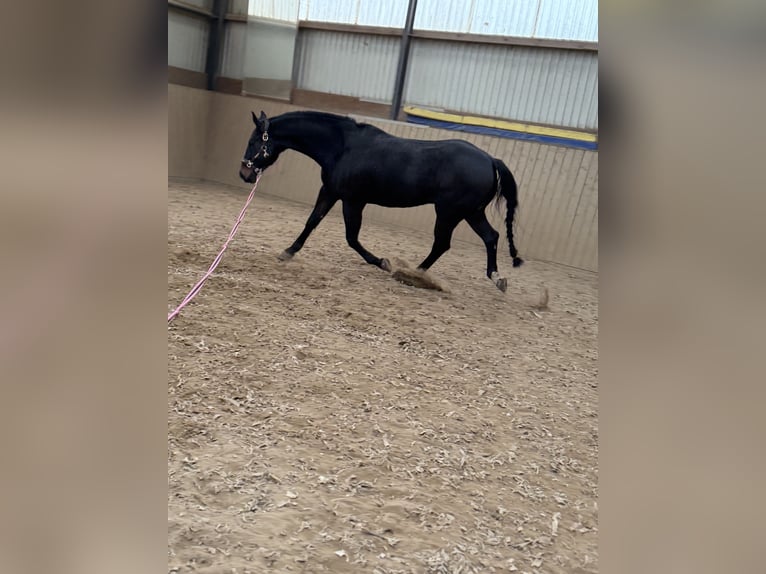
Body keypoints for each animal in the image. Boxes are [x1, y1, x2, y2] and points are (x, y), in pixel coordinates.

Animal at [239, 110, 523, 292]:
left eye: (253, 141)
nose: (244, 173)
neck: (342, 148)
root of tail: (490, 160)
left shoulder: (353, 200)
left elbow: (351, 237)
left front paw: (382, 263)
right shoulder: (330, 191)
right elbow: (312, 222)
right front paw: (288, 251)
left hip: (449, 212)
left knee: (443, 243)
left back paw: (412, 273)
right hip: (471, 212)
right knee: (491, 237)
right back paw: (496, 278)